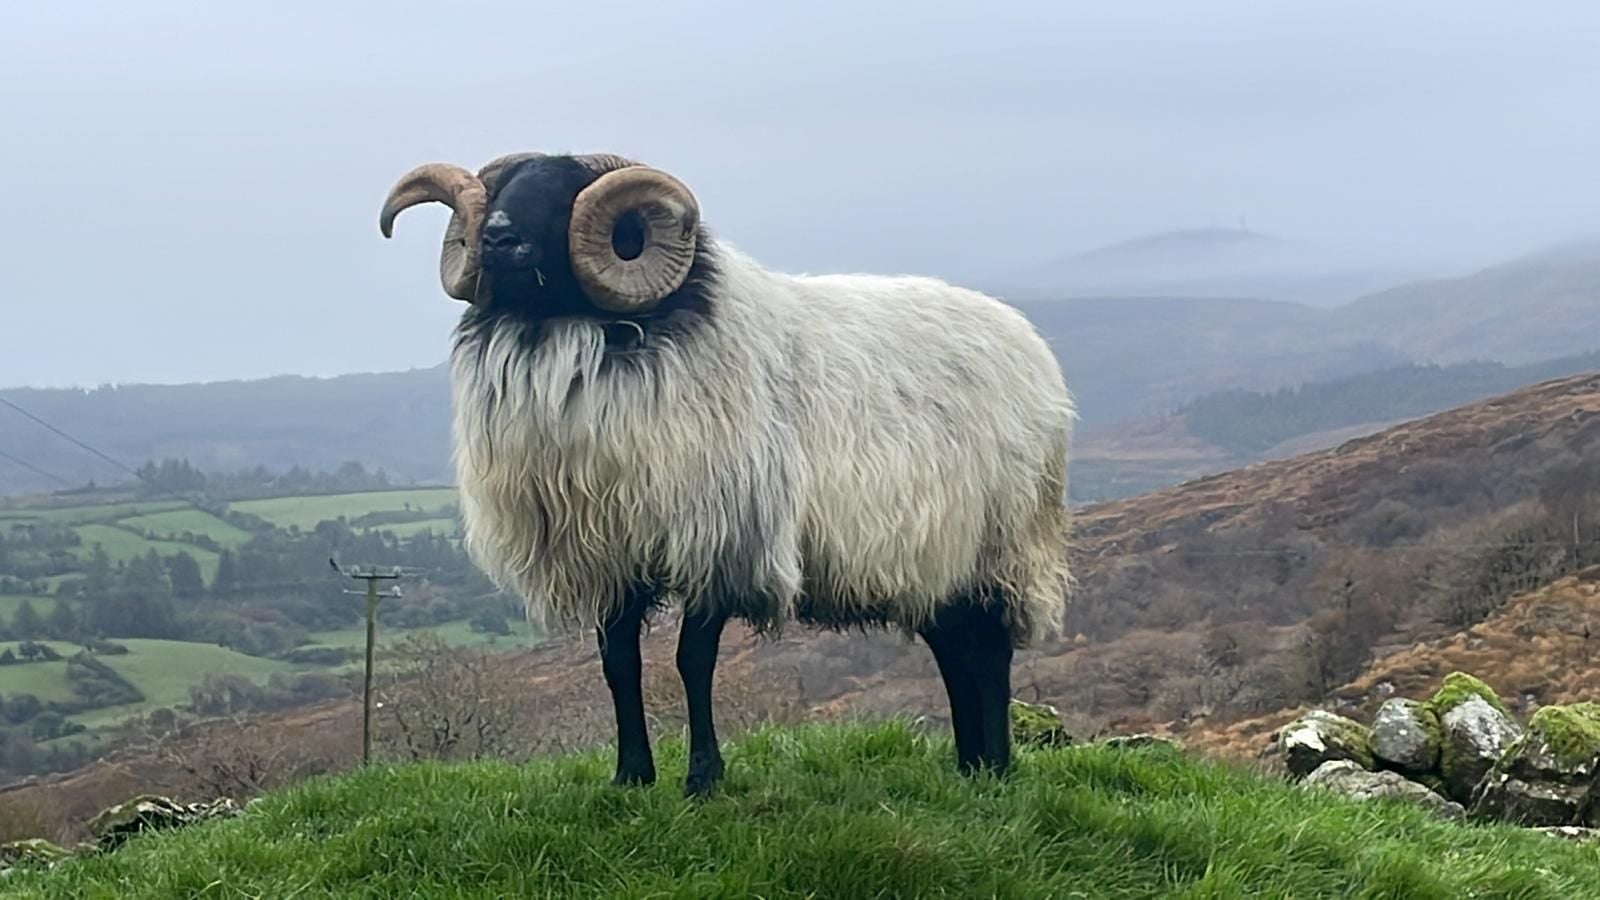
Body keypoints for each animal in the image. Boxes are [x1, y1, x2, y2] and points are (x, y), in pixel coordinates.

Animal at [378, 150, 1075, 797]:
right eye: (501, 189)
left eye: (563, 192)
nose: (495, 237)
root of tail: (1033, 348)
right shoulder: (611, 549)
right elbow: (618, 665)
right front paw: (631, 777)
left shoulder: (718, 539)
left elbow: (693, 661)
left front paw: (703, 778)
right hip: (936, 555)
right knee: (956, 647)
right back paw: (970, 766)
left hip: (999, 541)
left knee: (990, 650)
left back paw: (997, 768)